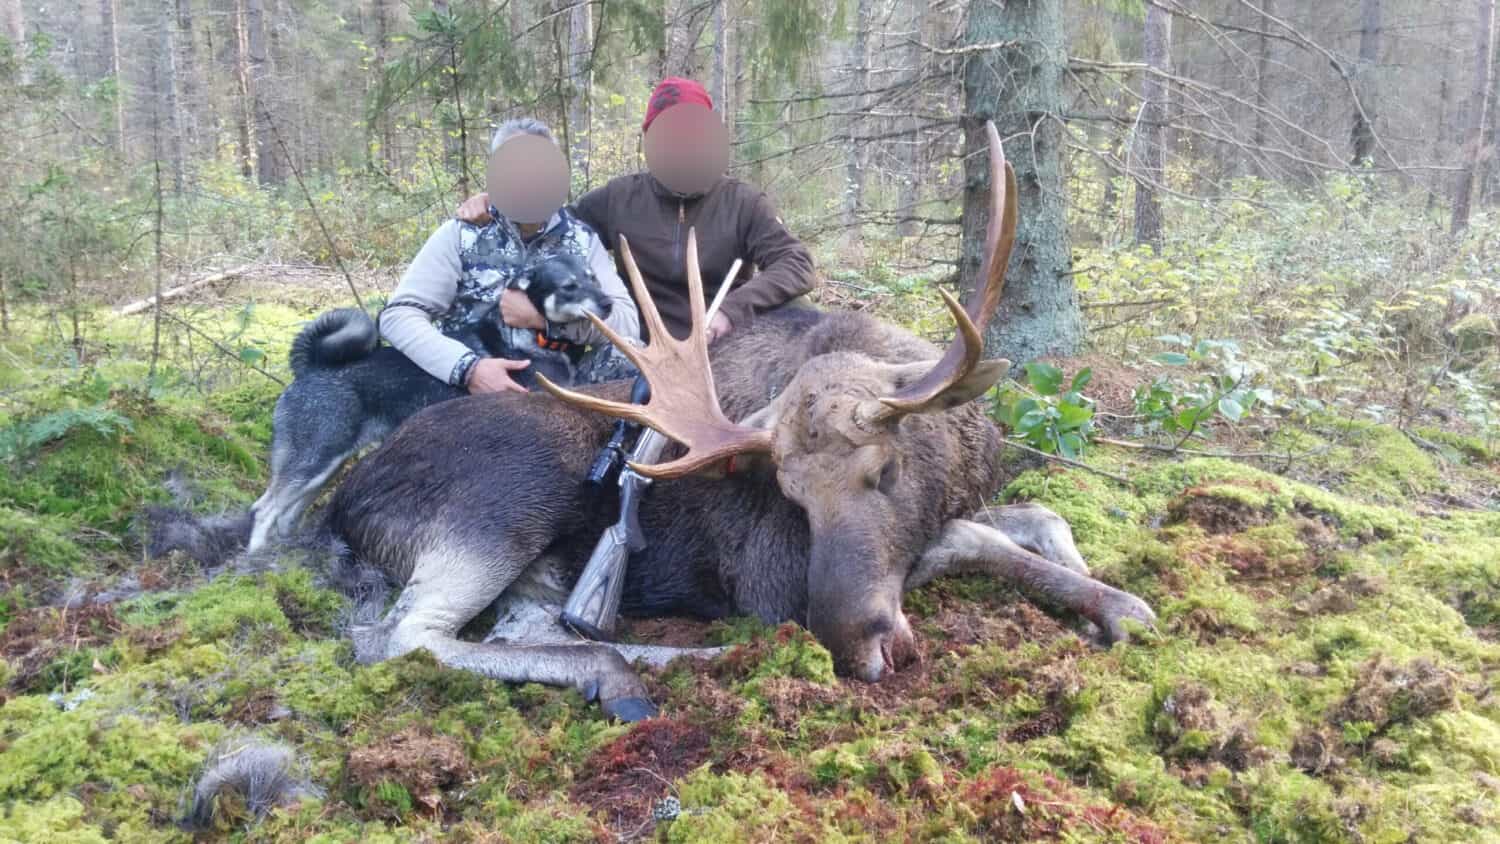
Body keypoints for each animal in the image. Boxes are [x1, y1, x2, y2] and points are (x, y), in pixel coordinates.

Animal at [322, 124, 1155, 721]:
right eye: (791, 497)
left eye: (886, 470)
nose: (855, 647)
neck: (961, 458)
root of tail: (343, 503)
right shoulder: (771, 578)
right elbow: (970, 541)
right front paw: (1113, 603)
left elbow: (1031, 516)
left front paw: (1103, 590)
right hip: (504, 507)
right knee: (396, 639)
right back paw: (659, 664)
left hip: (528, 561)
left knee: (517, 628)